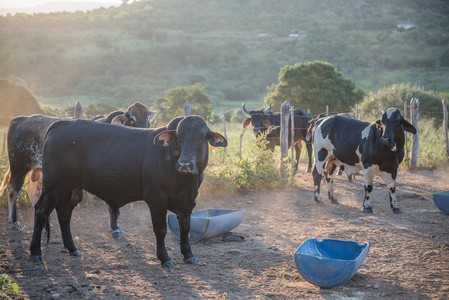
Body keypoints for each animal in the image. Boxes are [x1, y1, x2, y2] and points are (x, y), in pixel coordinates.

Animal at [0, 102, 155, 233]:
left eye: (148, 119)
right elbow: (110, 204)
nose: (145, 131)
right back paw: (14, 222)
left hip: (39, 169)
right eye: (132, 118)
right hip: (19, 164)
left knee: (32, 190)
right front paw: (115, 228)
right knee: (13, 188)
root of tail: (21, 119)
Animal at [28, 116, 228, 268]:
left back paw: (72, 249)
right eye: (178, 136)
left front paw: (189, 255)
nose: (185, 164)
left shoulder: (187, 202)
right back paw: (35, 253)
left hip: (70, 189)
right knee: (41, 212)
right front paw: (165, 258)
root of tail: (62, 123)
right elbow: (160, 230)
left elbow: (185, 227)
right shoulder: (156, 199)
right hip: (52, 187)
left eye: (202, 137)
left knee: (64, 214)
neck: (185, 182)